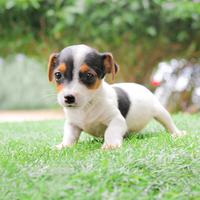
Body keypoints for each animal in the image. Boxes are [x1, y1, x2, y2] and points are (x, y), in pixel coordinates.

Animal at [47, 44, 185, 150]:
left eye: (89, 75)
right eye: (58, 75)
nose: (68, 98)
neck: (87, 106)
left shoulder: (117, 120)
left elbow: (111, 131)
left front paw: (110, 144)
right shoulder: (72, 124)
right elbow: (69, 136)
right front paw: (64, 146)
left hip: (161, 112)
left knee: (169, 124)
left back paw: (177, 133)